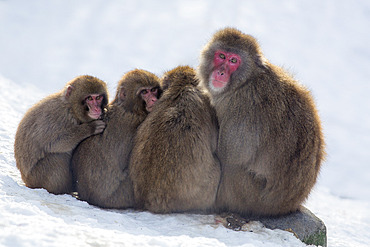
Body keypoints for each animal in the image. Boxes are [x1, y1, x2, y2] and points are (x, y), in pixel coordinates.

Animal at [197, 27, 324, 216]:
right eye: (221, 56)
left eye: (233, 60)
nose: (221, 72)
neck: (246, 81)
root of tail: (288, 205)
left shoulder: (242, 105)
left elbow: (231, 155)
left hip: (249, 196)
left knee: (231, 168)